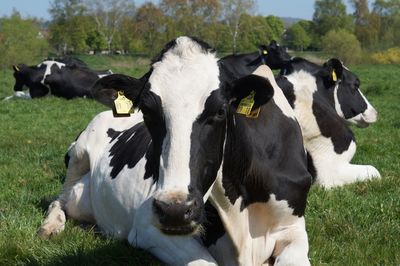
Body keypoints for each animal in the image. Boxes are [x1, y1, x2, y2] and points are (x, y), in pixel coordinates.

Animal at [38, 36, 312, 264]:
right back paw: (50, 226)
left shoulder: (293, 228)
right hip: (79, 152)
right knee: (60, 199)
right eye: (147, 110)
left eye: (220, 110)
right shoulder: (148, 227)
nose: (175, 209)